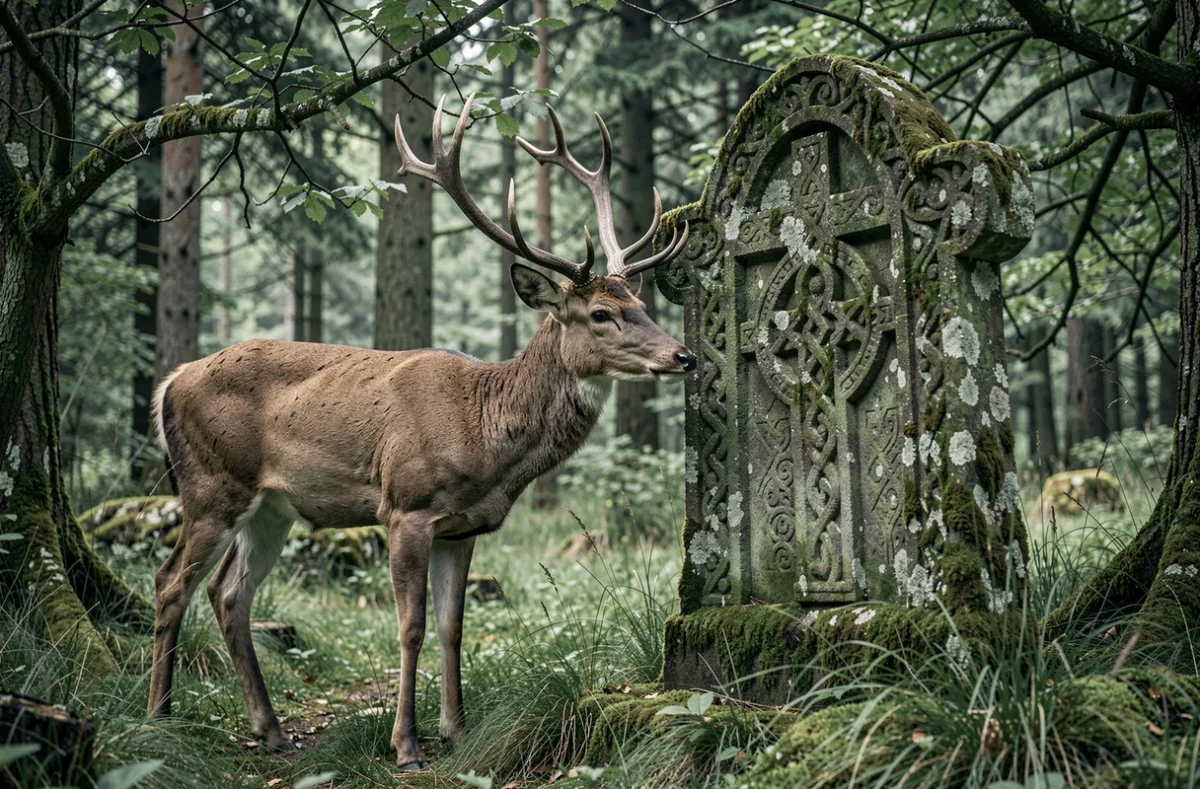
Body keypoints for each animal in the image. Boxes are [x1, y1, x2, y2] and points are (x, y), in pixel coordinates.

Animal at [146, 94, 694, 770]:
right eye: (601, 314)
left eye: (640, 305)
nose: (683, 356)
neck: (486, 437)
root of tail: (170, 384)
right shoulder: (405, 506)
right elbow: (410, 627)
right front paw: (405, 743)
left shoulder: (465, 527)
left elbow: (453, 626)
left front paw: (456, 730)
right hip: (210, 484)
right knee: (170, 585)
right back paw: (158, 720)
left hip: (270, 506)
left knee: (229, 595)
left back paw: (270, 730)